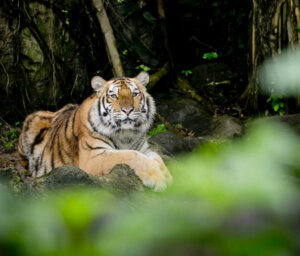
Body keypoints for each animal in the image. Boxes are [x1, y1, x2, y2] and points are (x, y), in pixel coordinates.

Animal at [18, 71, 172, 190]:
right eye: (114, 96)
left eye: (134, 94)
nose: (127, 110)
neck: (126, 134)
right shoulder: (93, 158)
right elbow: (131, 155)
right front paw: (157, 179)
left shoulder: (143, 149)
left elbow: (157, 157)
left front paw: (168, 177)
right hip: (33, 121)